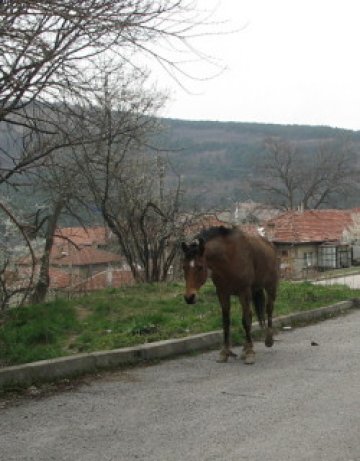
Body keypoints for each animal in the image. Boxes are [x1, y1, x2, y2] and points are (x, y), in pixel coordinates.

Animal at [183, 226, 278, 362]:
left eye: (200, 267)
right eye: (184, 267)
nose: (189, 297)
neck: (228, 259)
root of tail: (270, 245)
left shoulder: (244, 292)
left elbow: (246, 320)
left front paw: (250, 352)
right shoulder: (222, 293)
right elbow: (226, 321)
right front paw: (225, 351)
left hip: (271, 286)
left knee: (269, 309)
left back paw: (268, 339)